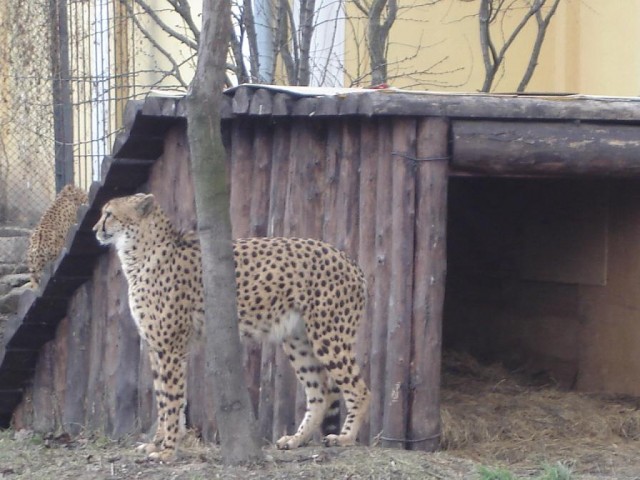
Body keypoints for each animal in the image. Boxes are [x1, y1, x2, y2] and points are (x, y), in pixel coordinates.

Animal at [91, 194, 370, 462]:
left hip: (328, 335)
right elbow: (163, 398)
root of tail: (348, 258)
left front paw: (168, 450)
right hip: (296, 339)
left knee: (360, 389)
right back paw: (295, 440)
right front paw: (158, 443)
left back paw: (344, 438)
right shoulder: (156, 347)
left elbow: (171, 399)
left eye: (109, 214)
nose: (94, 229)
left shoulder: (170, 347)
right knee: (320, 392)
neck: (140, 251)